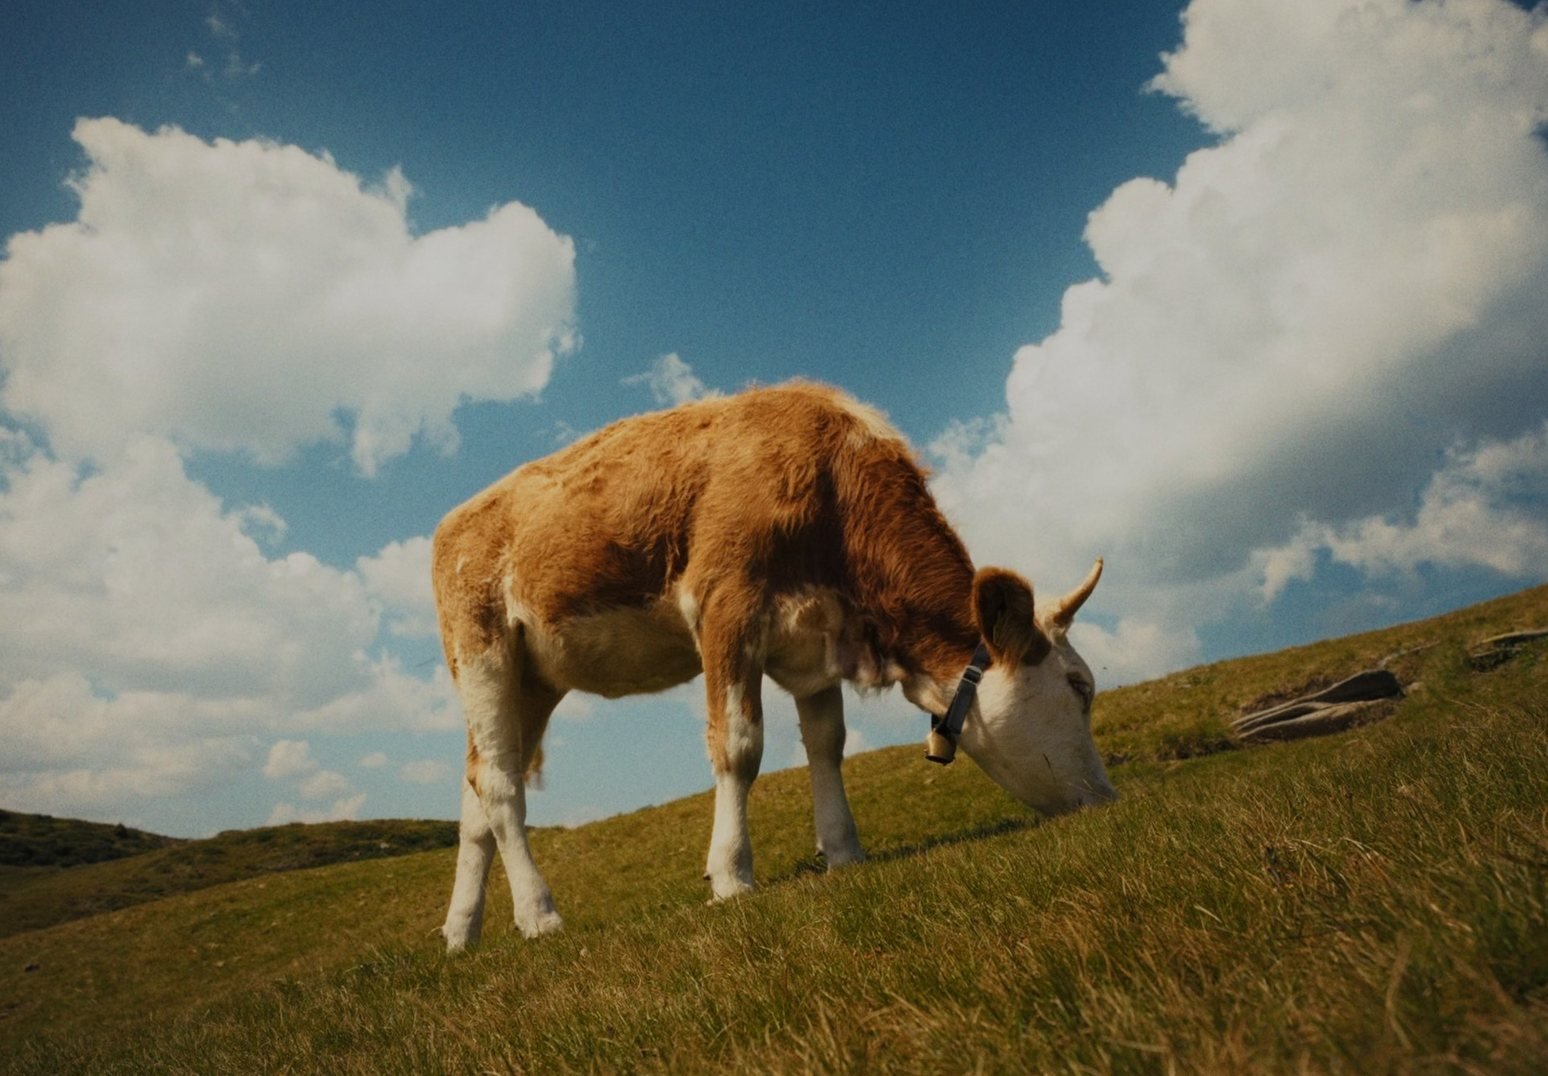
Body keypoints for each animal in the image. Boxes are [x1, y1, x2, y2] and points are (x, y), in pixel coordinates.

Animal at [432, 381, 1115, 950]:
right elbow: (739, 746)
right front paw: (732, 875)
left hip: (533, 680)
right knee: (501, 785)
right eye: (1079, 686)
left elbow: (827, 743)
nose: (1109, 799)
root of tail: (455, 519)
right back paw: (538, 914)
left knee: (478, 791)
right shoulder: (725, 604)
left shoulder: (819, 634)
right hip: (482, 651)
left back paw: (461, 933)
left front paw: (844, 851)